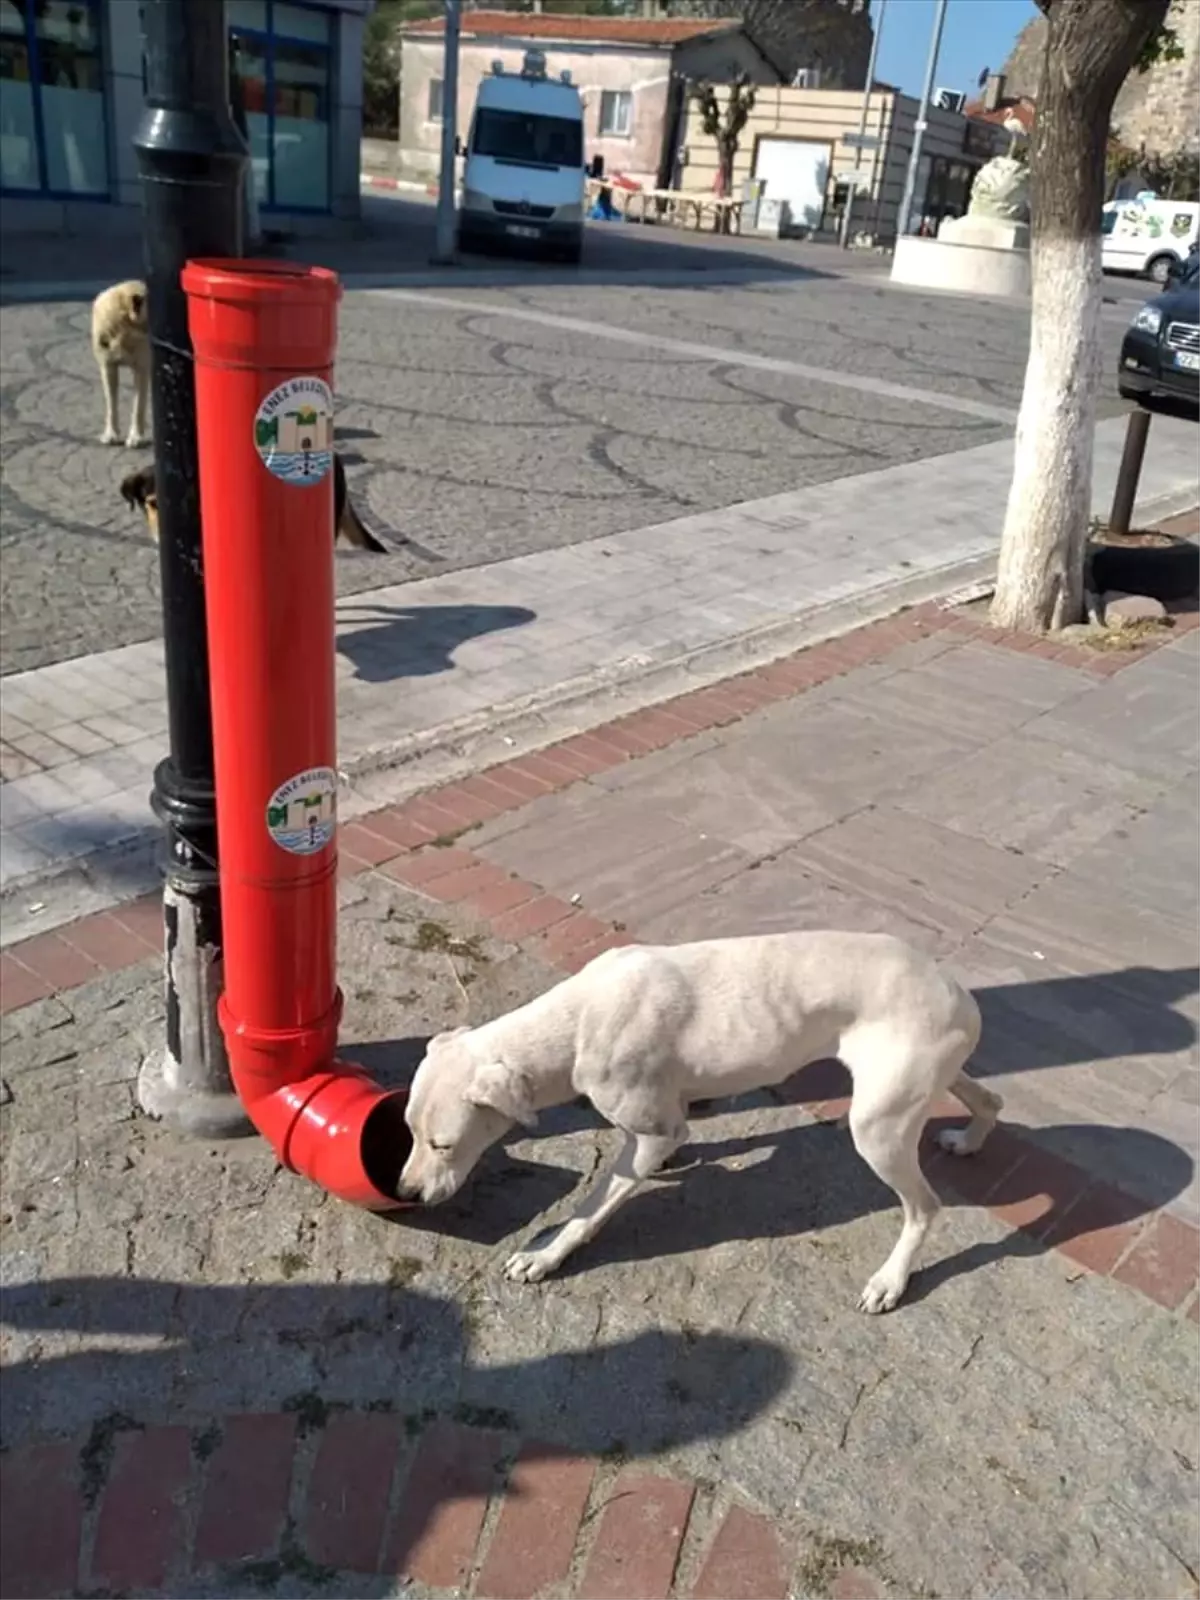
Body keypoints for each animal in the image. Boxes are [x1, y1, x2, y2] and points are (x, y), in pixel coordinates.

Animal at [91, 278, 151, 448]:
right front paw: (111, 433)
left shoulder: (141, 368)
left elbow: (138, 407)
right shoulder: (108, 367)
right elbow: (111, 404)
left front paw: (136, 436)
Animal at [400, 928, 998, 1312]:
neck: (578, 1020)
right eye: (408, 1131)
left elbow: (590, 1210)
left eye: (443, 1144)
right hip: (926, 1082)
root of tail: (961, 995)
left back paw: (890, 1280)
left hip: (877, 1128)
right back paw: (969, 1140)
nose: (406, 1192)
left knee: (925, 1208)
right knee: (989, 1100)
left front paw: (545, 1256)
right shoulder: (662, 1118)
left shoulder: (651, 1132)